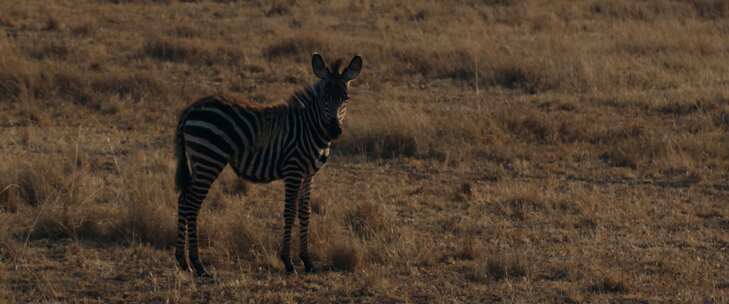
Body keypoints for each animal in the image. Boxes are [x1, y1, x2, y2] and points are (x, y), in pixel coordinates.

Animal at [171, 52, 364, 278]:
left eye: (346, 98)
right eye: (323, 98)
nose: (334, 130)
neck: (309, 127)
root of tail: (191, 108)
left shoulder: (308, 174)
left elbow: (305, 213)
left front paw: (307, 261)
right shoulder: (293, 170)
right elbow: (289, 212)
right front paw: (288, 262)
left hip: (198, 160)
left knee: (184, 199)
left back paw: (183, 261)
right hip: (209, 158)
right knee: (192, 204)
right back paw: (198, 264)